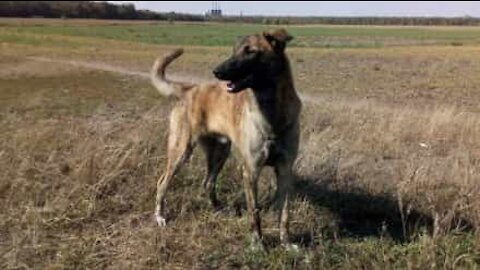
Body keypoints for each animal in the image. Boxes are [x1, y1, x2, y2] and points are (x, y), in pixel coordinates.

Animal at [151, 28, 300, 246]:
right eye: (234, 51)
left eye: (250, 51)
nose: (217, 71)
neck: (272, 114)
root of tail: (189, 90)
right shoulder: (251, 170)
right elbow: (254, 212)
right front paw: (258, 243)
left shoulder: (285, 170)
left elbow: (285, 213)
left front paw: (286, 243)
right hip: (181, 152)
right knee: (162, 183)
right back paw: (160, 216)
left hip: (220, 153)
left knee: (208, 182)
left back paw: (218, 209)